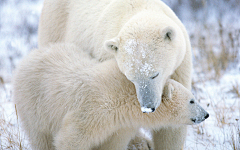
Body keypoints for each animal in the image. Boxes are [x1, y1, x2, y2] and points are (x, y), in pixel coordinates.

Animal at [13, 43, 208, 150]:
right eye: (192, 100)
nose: (205, 114)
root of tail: (27, 58)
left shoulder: (119, 125)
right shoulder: (90, 110)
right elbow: (71, 138)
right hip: (35, 103)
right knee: (40, 136)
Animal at [38, 0, 193, 149]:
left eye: (155, 74)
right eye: (131, 78)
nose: (148, 107)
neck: (140, 9)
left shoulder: (180, 66)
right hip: (55, 26)